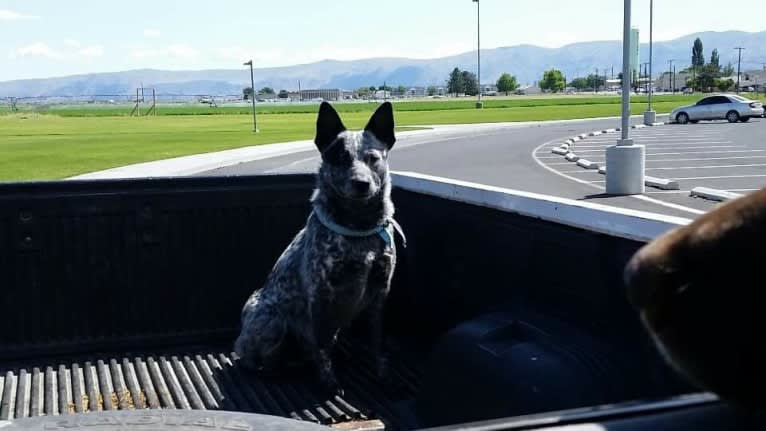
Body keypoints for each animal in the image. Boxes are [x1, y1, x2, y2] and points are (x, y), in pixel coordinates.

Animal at [234, 101, 404, 394]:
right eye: (340, 157)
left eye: (373, 158)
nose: (361, 183)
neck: (358, 229)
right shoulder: (321, 294)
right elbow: (322, 347)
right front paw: (328, 382)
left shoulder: (381, 293)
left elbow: (377, 343)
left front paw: (383, 374)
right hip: (272, 320)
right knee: (253, 360)